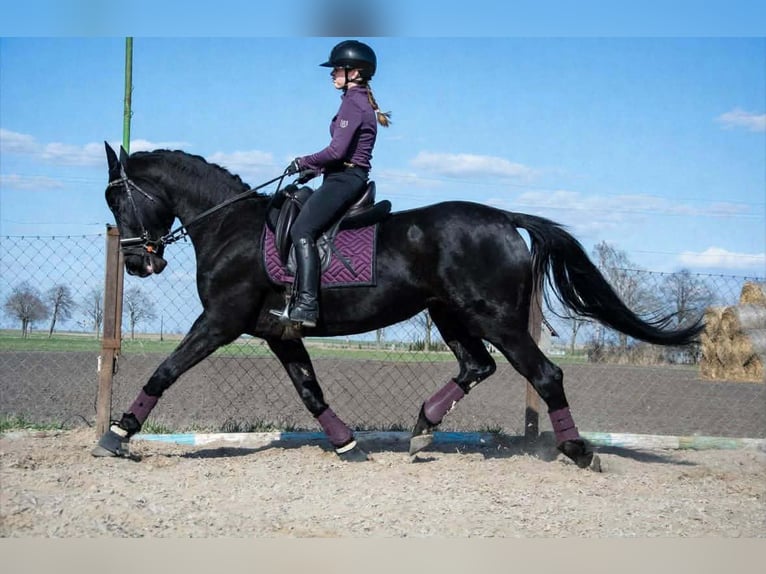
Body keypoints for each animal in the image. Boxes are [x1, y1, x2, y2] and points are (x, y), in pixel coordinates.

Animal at [93, 142, 703, 468]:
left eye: (117, 198)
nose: (139, 263)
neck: (230, 226)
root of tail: (505, 219)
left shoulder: (220, 321)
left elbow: (165, 371)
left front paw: (117, 435)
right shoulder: (279, 333)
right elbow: (310, 392)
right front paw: (346, 444)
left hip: (494, 318)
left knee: (544, 374)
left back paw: (577, 451)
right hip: (450, 314)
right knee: (476, 366)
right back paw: (422, 430)